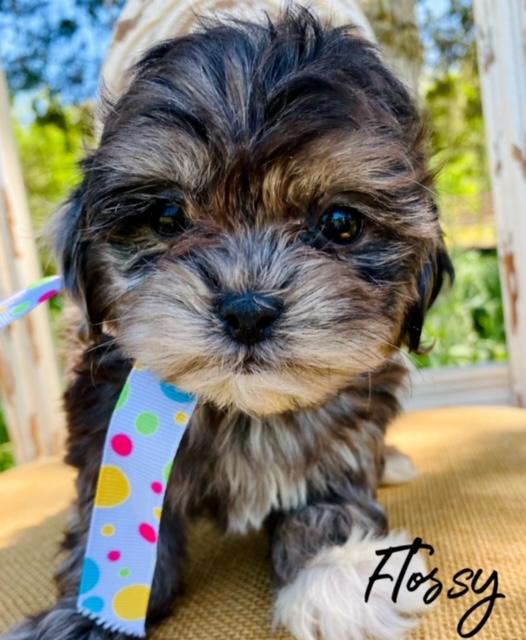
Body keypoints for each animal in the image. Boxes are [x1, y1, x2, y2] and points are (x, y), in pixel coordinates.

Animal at [5, 6, 454, 640]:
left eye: (340, 223)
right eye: (167, 216)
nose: (247, 310)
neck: (240, 408)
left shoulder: (347, 424)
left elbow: (331, 481)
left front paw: (335, 572)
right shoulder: (101, 418)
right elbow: (105, 516)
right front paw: (88, 614)